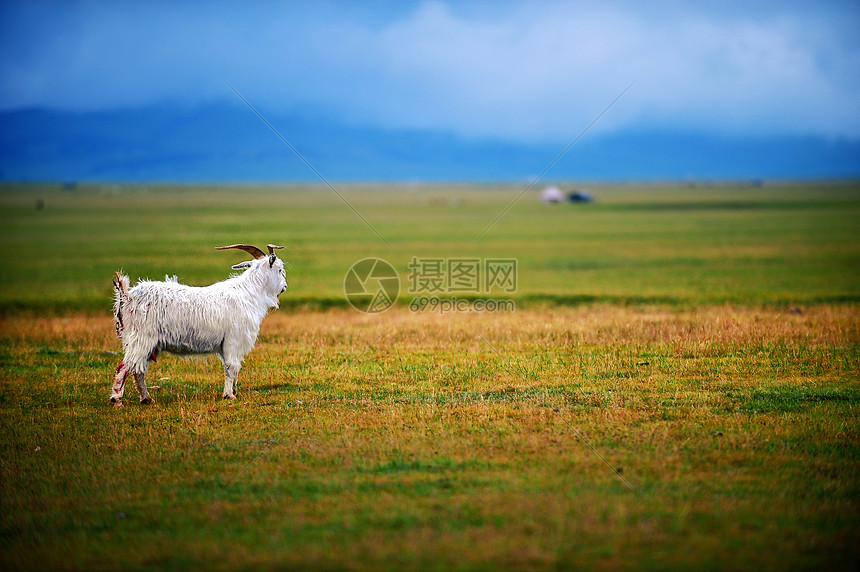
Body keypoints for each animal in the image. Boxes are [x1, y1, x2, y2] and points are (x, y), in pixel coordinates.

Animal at [109, 244, 286, 404]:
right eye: (279, 269)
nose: (284, 286)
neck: (249, 293)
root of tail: (126, 296)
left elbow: (234, 368)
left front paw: (234, 390)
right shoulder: (233, 340)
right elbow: (231, 366)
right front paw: (229, 395)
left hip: (142, 343)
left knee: (137, 370)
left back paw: (146, 399)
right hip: (141, 339)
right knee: (124, 368)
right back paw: (117, 399)